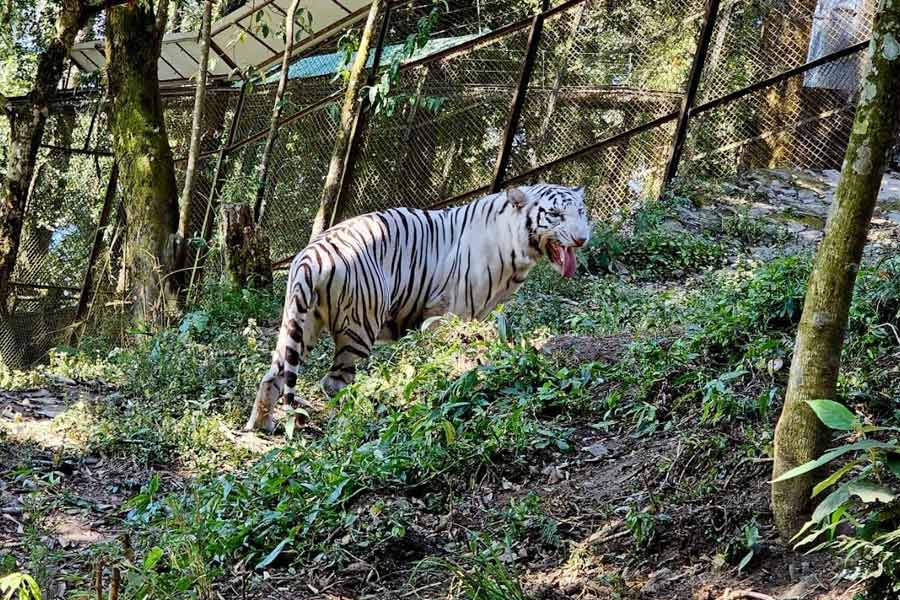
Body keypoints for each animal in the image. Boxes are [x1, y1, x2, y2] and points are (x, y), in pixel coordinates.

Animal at [244, 183, 592, 432]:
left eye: (582, 212)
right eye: (555, 215)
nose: (582, 239)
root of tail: (309, 257)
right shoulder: (450, 313)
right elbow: (451, 348)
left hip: (301, 323)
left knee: (273, 374)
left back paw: (261, 426)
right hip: (359, 326)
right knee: (334, 382)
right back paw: (357, 415)